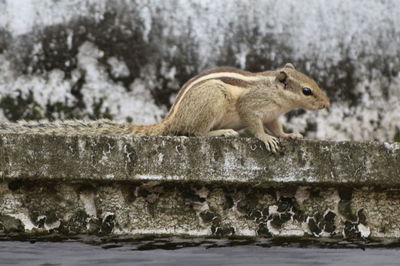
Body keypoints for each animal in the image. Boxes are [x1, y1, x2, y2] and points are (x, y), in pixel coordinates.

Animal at [0, 63, 330, 153]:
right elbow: (255, 124)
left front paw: (290, 136)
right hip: (212, 100)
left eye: (313, 84)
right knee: (194, 133)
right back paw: (221, 134)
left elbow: (278, 128)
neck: (274, 92)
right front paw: (264, 139)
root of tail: (171, 120)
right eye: (307, 90)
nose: (327, 104)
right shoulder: (253, 106)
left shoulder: (274, 115)